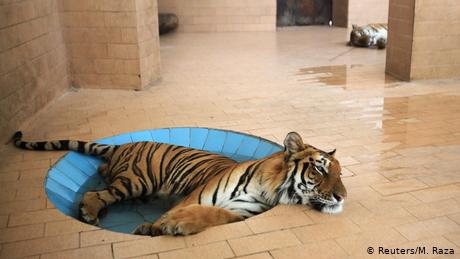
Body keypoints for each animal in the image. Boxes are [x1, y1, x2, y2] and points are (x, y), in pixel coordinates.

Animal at [12, 131, 346, 237]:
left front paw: (175, 225)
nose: (342, 197)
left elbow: (211, 214)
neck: (268, 188)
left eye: (341, 174)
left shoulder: (239, 213)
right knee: (97, 193)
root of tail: (121, 145)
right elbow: (177, 210)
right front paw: (154, 227)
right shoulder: (196, 194)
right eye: (321, 168)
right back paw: (91, 213)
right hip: (137, 180)